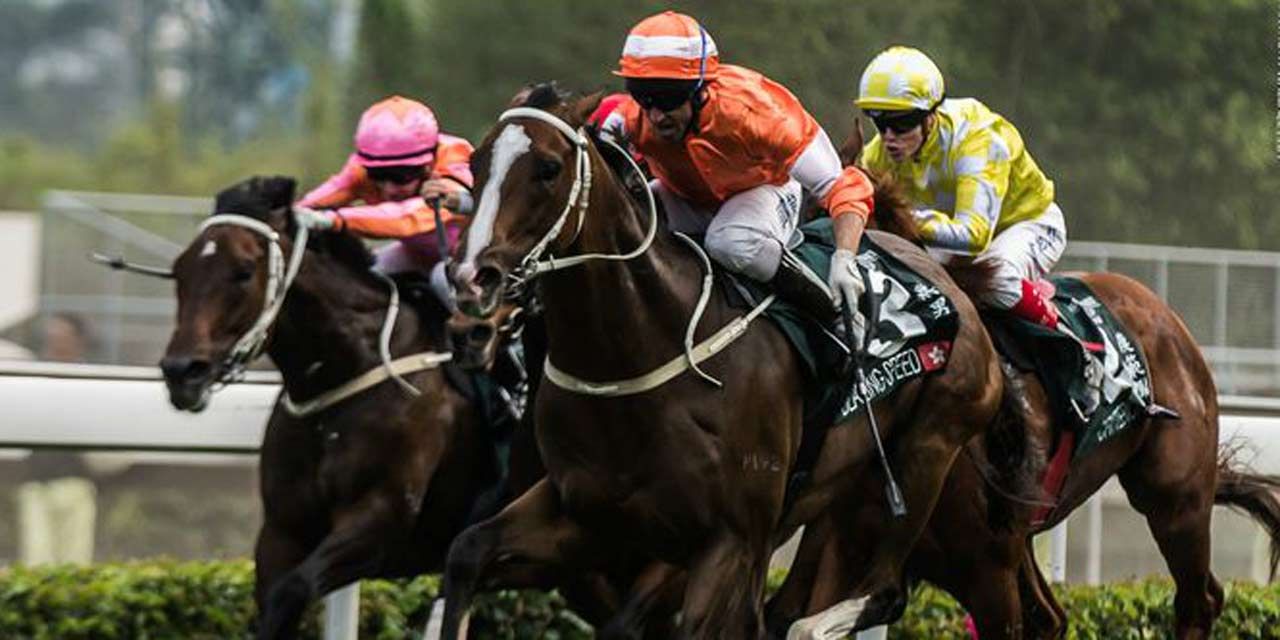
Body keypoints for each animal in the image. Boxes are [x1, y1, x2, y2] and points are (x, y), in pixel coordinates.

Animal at [158, 176, 512, 639]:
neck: (345, 374)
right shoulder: (282, 529)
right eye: (179, 271)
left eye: (244, 271)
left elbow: (291, 591)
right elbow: (271, 603)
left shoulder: (379, 521)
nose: (182, 372)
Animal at [437, 85, 1003, 639]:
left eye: (549, 168)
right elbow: (466, 553)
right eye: (476, 164)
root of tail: (951, 285)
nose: (472, 277)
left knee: (883, 591)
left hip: (927, 451)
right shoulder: (586, 515)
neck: (637, 352)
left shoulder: (730, 543)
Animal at [763, 128, 1280, 639]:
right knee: (1054, 617)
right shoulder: (843, 541)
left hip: (1175, 499)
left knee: (1198, 601)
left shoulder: (985, 569)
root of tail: (1166, 316)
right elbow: (785, 614)